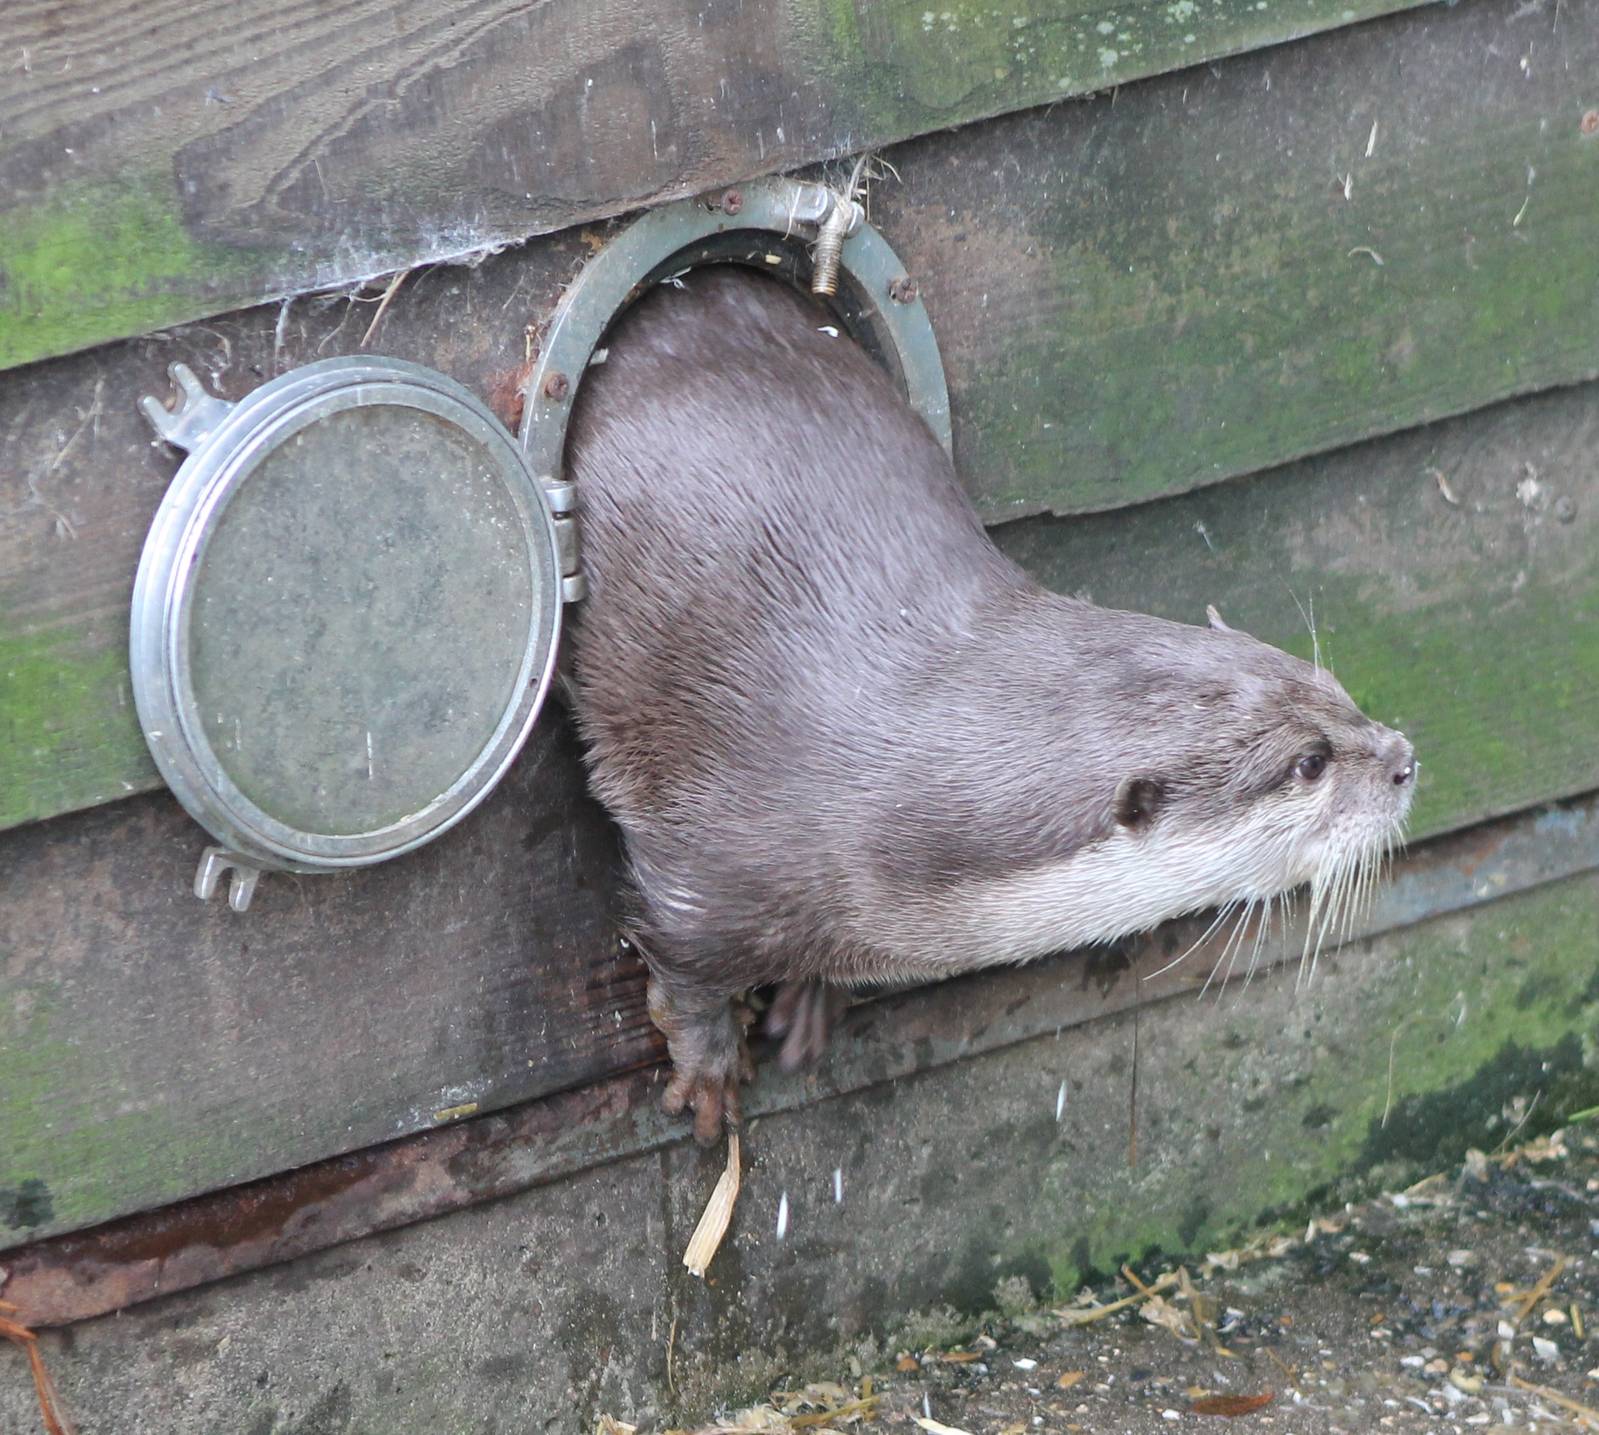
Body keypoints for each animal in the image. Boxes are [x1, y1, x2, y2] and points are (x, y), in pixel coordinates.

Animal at [564, 268, 1415, 1145]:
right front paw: (707, 1066)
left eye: (1338, 690)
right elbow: (679, 962)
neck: (879, 794)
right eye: (1309, 762)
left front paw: (810, 1000)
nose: (1403, 759)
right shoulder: (709, 866)